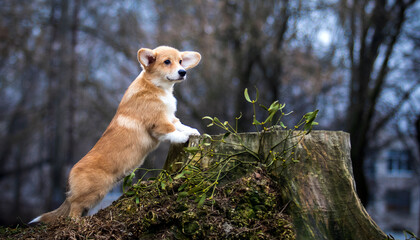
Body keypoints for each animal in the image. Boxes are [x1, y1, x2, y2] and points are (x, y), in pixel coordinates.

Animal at [29, 46, 200, 224]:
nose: (183, 72)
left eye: (180, 61)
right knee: (74, 209)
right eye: (167, 62)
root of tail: (70, 176)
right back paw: (76, 223)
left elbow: (180, 125)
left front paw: (191, 131)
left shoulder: (170, 117)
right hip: (91, 194)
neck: (156, 86)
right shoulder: (158, 123)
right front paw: (183, 137)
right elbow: (171, 131)